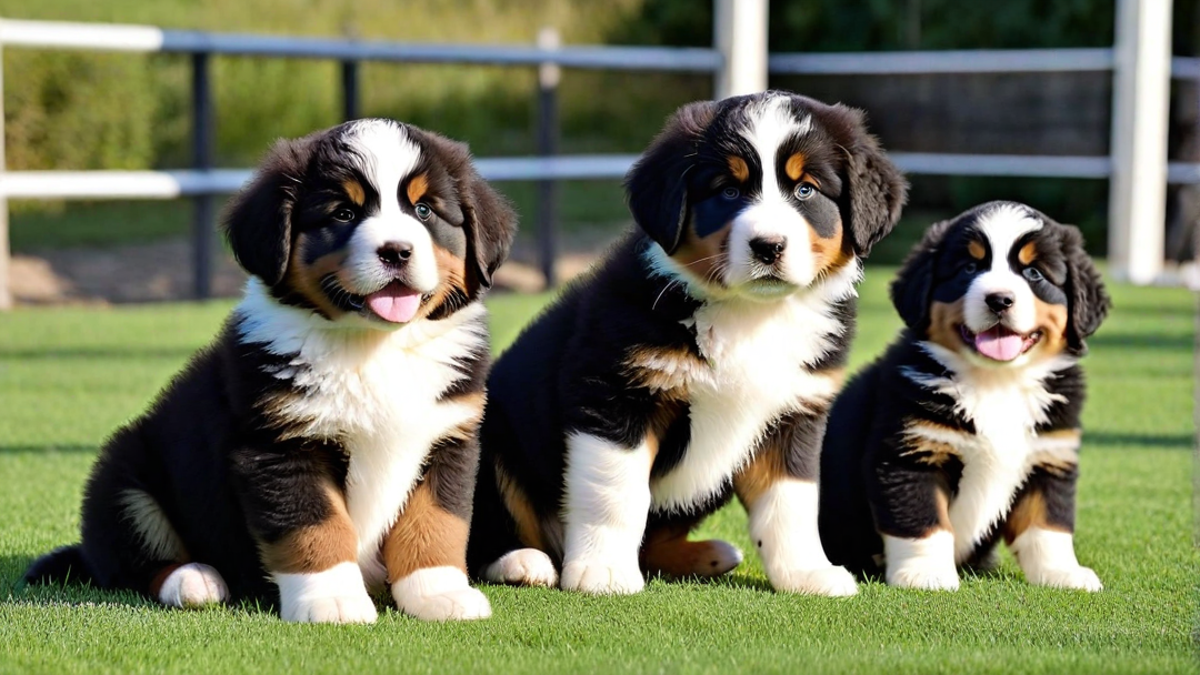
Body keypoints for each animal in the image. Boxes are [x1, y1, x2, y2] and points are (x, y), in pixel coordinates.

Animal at [24, 118, 516, 624]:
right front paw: (332, 601)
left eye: (424, 210)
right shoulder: (280, 445)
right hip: (124, 475)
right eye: (343, 213)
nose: (396, 251)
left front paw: (439, 593)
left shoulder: (447, 437)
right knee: (135, 562)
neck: (373, 347)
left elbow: (436, 523)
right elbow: (317, 527)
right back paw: (194, 579)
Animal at [468, 89, 907, 593]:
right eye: (729, 191)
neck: (751, 314)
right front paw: (603, 570)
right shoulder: (613, 395)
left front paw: (807, 573)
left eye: (805, 191)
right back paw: (522, 561)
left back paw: (708, 555)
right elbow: (615, 492)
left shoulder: (795, 410)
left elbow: (791, 504)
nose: (768, 246)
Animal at [820, 198, 1108, 588]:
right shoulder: (910, 453)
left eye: (1034, 274)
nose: (999, 300)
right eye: (969, 268)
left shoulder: (1049, 456)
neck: (996, 382)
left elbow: (1048, 525)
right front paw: (925, 572)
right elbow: (923, 521)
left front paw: (1062, 572)